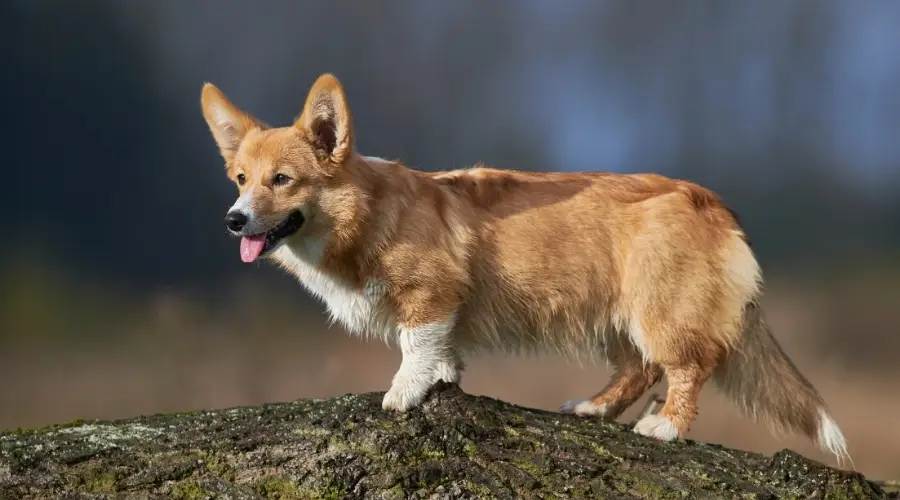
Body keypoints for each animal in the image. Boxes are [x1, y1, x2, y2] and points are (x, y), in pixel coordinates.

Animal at [202, 72, 852, 462]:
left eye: (282, 180)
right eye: (240, 179)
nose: (232, 220)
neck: (362, 213)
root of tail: (715, 205)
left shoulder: (430, 294)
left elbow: (415, 345)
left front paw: (404, 393)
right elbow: (442, 353)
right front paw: (442, 379)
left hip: (661, 309)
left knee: (688, 367)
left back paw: (666, 426)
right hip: (616, 317)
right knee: (640, 368)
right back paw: (594, 409)